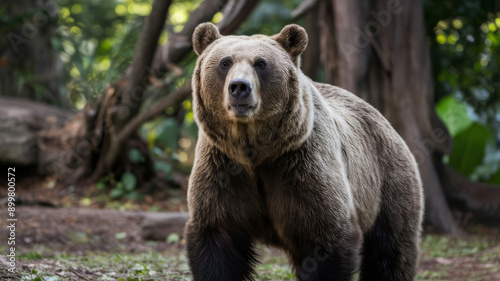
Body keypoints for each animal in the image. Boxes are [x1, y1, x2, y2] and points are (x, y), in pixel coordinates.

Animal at [186, 22, 424, 280]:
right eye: (225, 62)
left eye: (261, 63)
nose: (239, 87)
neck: (255, 151)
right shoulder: (223, 169)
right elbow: (216, 239)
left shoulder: (301, 166)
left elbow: (328, 237)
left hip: (386, 183)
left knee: (390, 251)